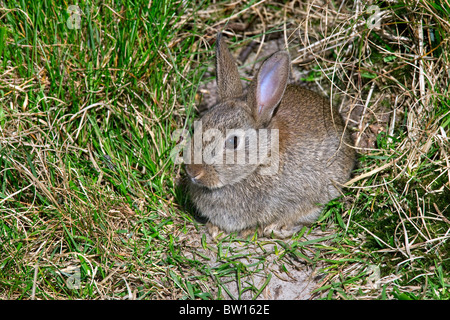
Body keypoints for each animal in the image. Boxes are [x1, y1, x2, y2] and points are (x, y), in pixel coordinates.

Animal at [184, 33, 356, 238]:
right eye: (200, 123)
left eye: (233, 141)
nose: (193, 171)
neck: (260, 161)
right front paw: (214, 228)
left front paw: (262, 230)